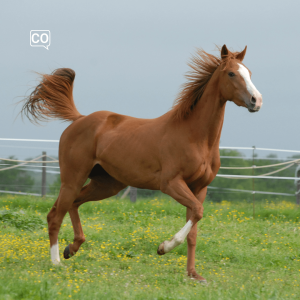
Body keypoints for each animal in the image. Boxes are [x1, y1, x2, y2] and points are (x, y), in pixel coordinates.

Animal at [20, 44, 262, 282]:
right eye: (231, 73)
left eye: (249, 73)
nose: (256, 100)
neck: (195, 137)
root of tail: (79, 119)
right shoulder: (171, 184)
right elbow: (197, 213)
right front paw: (163, 247)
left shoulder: (199, 188)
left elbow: (194, 226)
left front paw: (193, 274)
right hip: (73, 178)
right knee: (55, 215)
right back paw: (56, 262)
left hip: (106, 184)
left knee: (73, 204)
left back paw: (71, 248)